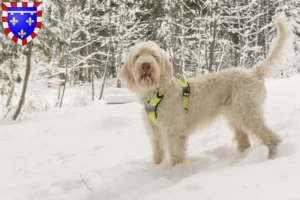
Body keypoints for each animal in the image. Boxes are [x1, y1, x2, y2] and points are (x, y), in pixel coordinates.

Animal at [118, 14, 294, 167]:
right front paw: (156, 168)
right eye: (137, 56)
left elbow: (175, 154)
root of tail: (253, 72)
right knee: (245, 139)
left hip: (248, 113)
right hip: (236, 115)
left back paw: (272, 155)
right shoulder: (155, 132)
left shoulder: (173, 130)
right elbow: (158, 152)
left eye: (154, 55)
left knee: (270, 136)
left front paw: (175, 173)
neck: (156, 92)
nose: (145, 65)